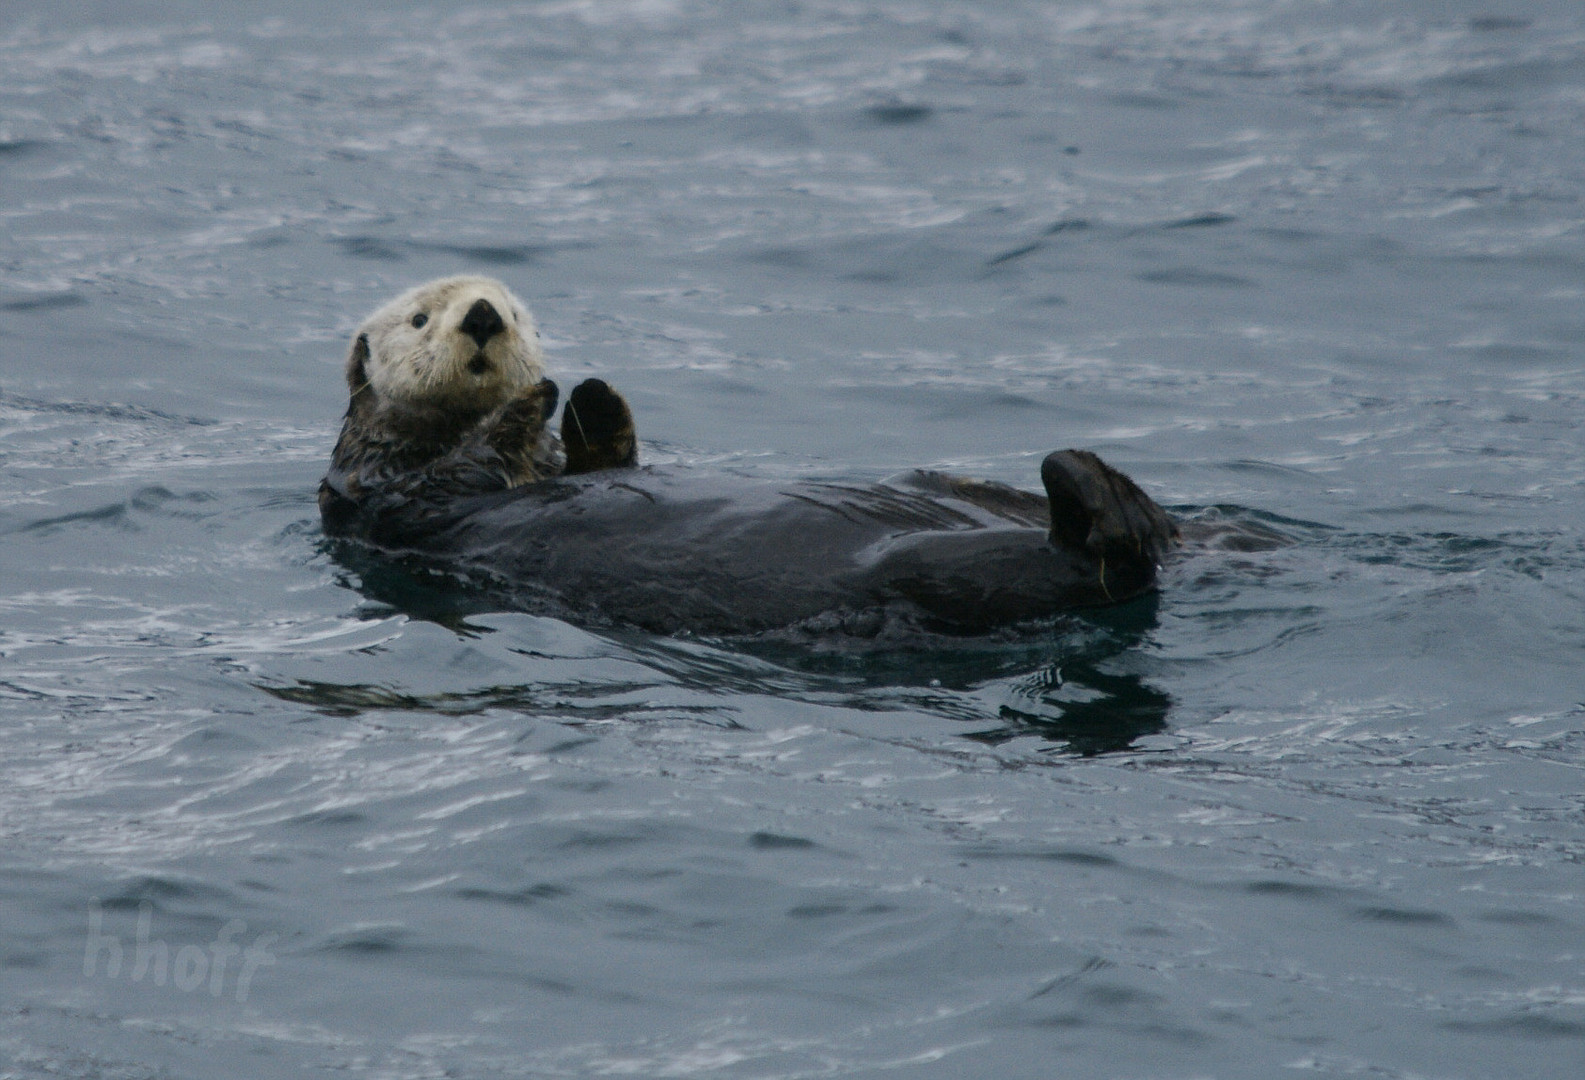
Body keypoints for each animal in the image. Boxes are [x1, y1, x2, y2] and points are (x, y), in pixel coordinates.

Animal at [321, 275, 1185, 640]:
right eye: (420, 317)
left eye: (516, 310)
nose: (482, 316)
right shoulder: (384, 490)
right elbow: (457, 471)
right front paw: (531, 400)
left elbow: (601, 464)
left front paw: (594, 400)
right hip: (939, 573)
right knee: (1093, 559)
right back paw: (1095, 490)